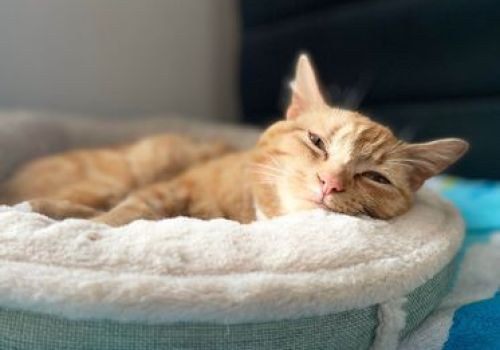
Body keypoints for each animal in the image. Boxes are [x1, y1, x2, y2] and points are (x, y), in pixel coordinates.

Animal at [0, 54, 468, 224]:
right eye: (317, 142)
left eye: (376, 177)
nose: (330, 183)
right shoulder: (167, 189)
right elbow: (123, 215)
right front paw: (86, 224)